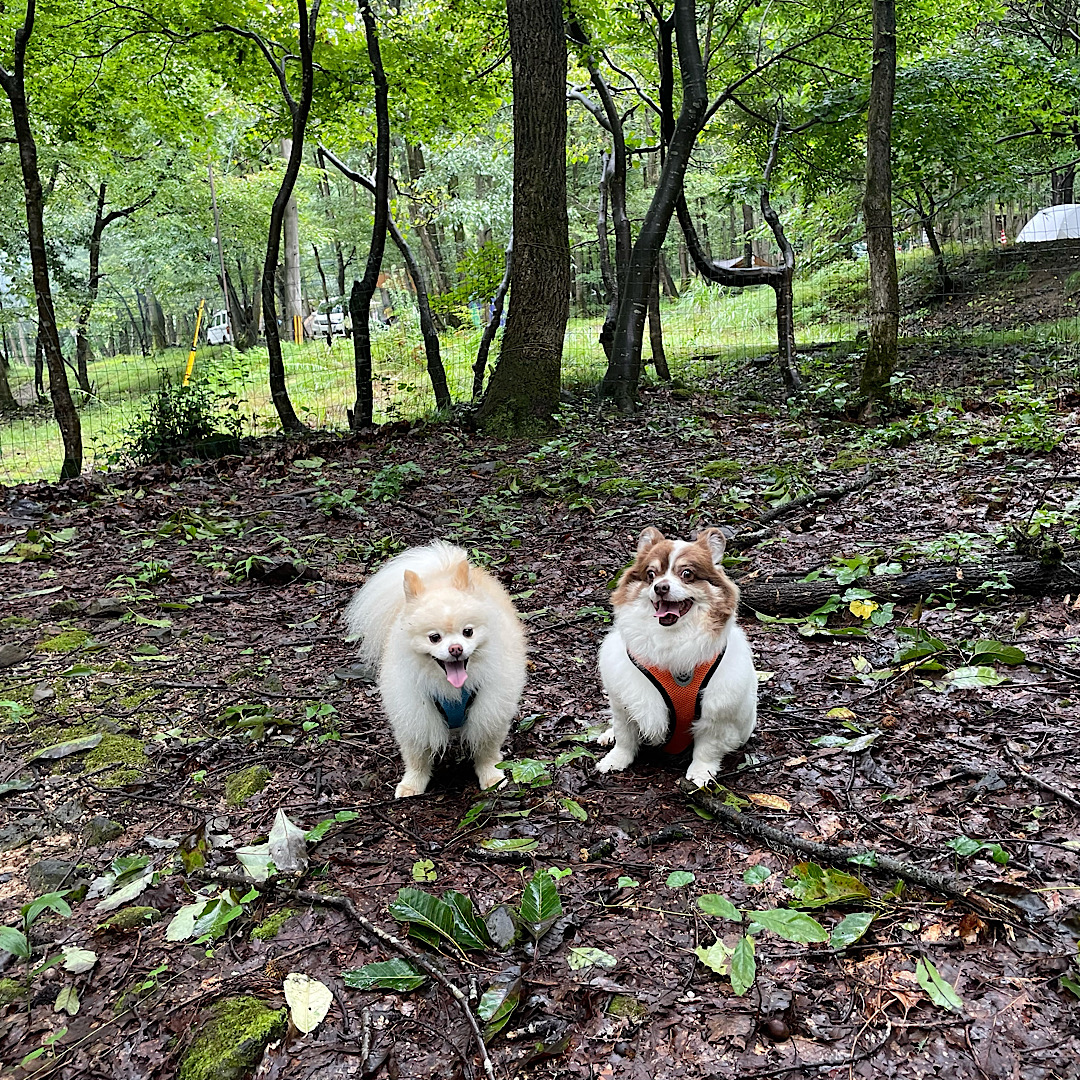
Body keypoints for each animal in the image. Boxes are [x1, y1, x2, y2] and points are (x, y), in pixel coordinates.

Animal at [343, 544, 524, 799]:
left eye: (468, 632)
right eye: (434, 637)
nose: (456, 649)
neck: (452, 690)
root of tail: (442, 569)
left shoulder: (489, 709)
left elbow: (486, 748)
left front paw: (491, 776)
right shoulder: (417, 713)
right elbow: (417, 755)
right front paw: (412, 784)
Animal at [596, 524, 756, 786]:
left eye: (687, 574)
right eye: (651, 574)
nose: (661, 587)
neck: (670, 639)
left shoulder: (716, 710)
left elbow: (707, 747)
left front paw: (701, 773)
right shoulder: (626, 698)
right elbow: (624, 735)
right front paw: (615, 760)